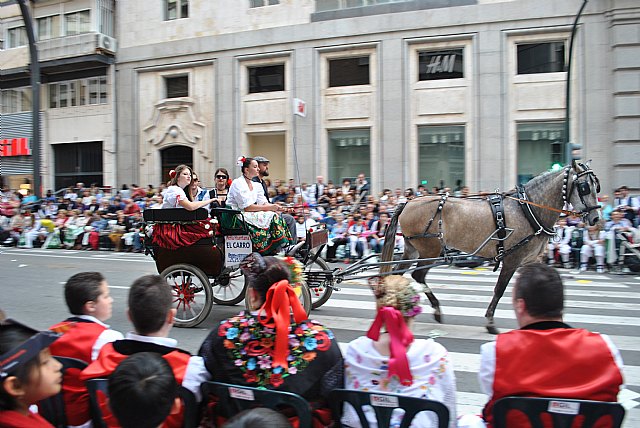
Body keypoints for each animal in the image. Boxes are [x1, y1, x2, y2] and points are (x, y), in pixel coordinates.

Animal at [382, 161, 604, 334]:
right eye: (584, 186)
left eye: (596, 186)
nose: (596, 218)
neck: (528, 208)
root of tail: (407, 203)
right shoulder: (512, 259)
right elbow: (499, 289)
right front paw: (490, 322)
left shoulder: (530, 260)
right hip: (430, 251)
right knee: (417, 275)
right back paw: (433, 310)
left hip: (413, 249)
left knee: (398, 274)